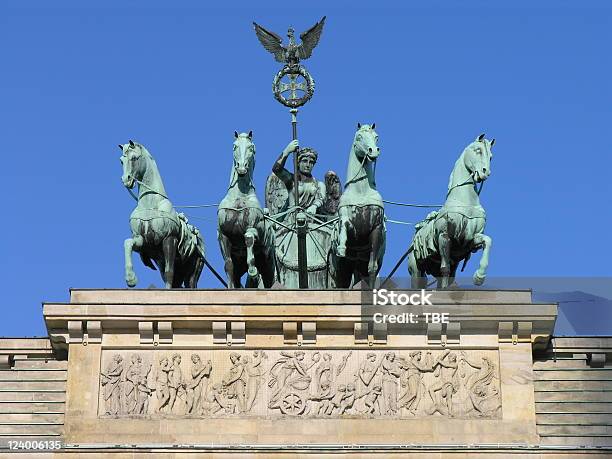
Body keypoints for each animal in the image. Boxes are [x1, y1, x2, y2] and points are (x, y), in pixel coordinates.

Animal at [119, 142, 206, 290]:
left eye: (134, 158)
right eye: (121, 160)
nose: (126, 180)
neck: (150, 204)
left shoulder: (169, 239)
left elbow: (169, 272)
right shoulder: (142, 240)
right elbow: (128, 243)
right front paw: (131, 279)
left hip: (194, 268)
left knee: (190, 283)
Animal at [218, 132, 274, 288]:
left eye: (251, 148)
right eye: (234, 146)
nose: (242, 168)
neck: (239, 197)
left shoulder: (252, 228)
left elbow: (249, 239)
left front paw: (253, 271)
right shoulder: (223, 236)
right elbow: (228, 265)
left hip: (267, 262)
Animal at [332, 122, 384, 288]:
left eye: (376, 137)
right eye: (359, 136)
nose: (373, 150)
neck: (361, 191)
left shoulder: (376, 228)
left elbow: (372, 268)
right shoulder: (350, 224)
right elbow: (344, 224)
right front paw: (341, 246)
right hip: (344, 266)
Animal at [408, 135, 494, 290]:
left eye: (491, 156)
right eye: (478, 150)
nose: (485, 172)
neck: (465, 202)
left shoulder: (469, 240)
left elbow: (488, 240)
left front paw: (479, 276)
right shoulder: (444, 236)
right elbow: (445, 268)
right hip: (416, 268)